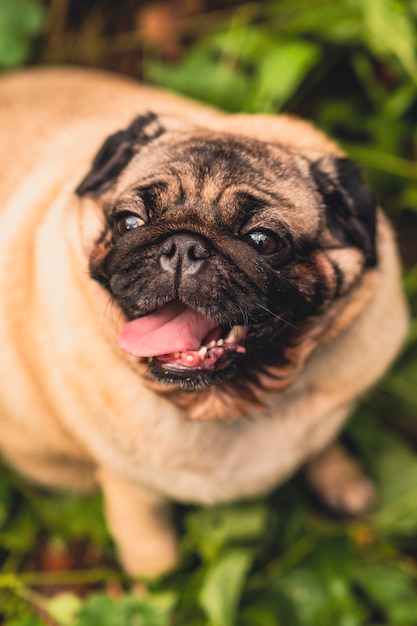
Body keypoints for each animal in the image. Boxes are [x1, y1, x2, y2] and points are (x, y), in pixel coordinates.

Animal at [0, 68, 406, 576]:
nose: (183, 246)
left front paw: (341, 478)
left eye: (264, 241)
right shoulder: (131, 489)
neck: (228, 403)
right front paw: (158, 587)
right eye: (129, 222)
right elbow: (155, 561)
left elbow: (322, 442)